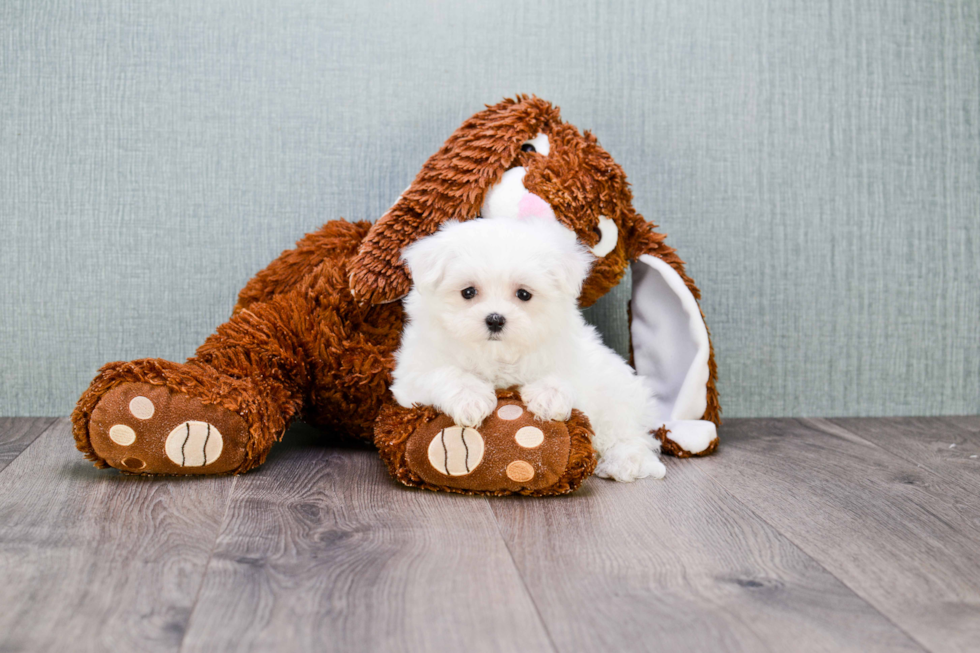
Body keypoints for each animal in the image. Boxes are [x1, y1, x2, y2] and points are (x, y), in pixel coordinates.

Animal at [390, 216, 668, 482]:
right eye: (468, 292)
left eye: (523, 294)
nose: (495, 319)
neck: (497, 355)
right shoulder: (412, 374)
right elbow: (444, 373)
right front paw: (470, 399)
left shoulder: (572, 358)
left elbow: (566, 376)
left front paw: (549, 396)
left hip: (619, 399)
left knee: (631, 435)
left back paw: (623, 463)